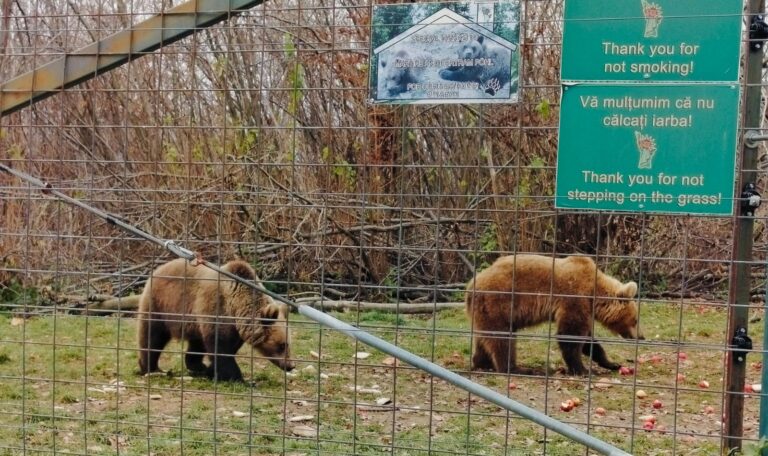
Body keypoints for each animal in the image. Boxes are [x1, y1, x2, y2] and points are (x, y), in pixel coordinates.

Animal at [138, 256, 294, 382]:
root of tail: (159, 268)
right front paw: (238, 378)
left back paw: (197, 366)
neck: (236, 305)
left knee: (197, 343)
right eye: (282, 345)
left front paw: (210, 371)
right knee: (153, 335)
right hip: (162, 303)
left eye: (288, 344)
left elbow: (227, 348)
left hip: (192, 320)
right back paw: (150, 367)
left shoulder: (234, 327)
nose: (291, 365)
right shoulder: (217, 308)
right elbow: (221, 348)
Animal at [464, 255, 640, 376]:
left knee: (484, 338)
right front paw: (582, 370)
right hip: (497, 302)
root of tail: (470, 286)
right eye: (635, 320)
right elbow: (570, 335)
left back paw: (482, 363)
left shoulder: (584, 307)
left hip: (485, 311)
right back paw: (517, 369)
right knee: (502, 338)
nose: (641, 337)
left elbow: (588, 340)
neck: (594, 292)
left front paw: (612, 363)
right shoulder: (574, 297)